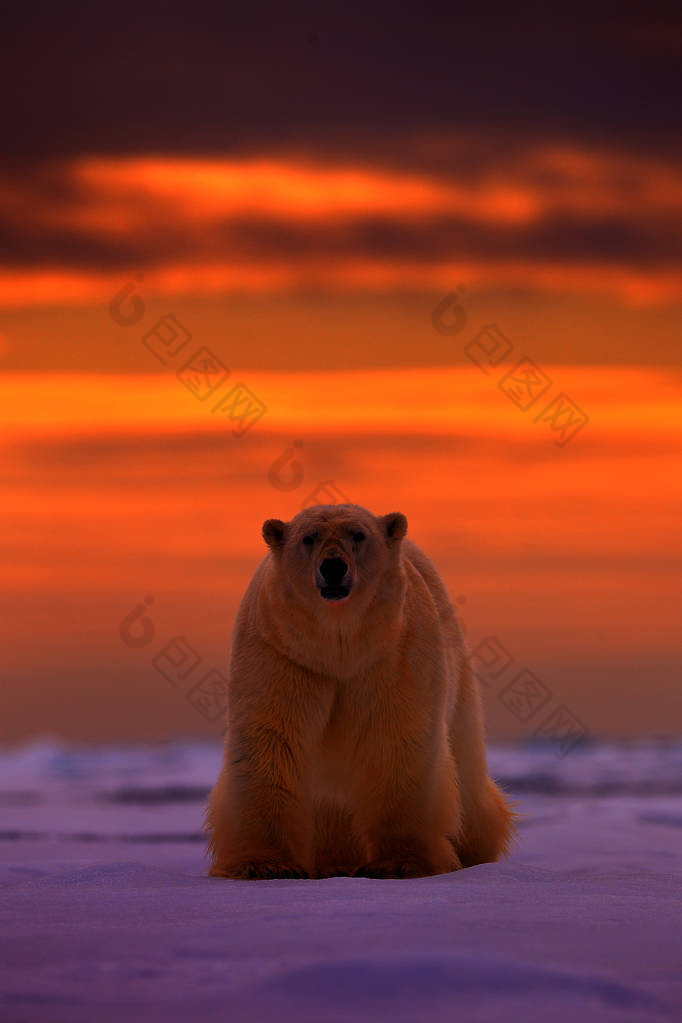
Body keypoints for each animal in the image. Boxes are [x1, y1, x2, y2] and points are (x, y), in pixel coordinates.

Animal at [205, 503, 515, 879]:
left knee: (467, 775)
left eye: (358, 534)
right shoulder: (281, 653)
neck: (338, 648)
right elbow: (273, 739)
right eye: (309, 537)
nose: (333, 566)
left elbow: (397, 739)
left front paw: (399, 862)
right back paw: (334, 861)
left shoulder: (393, 653)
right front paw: (265, 865)